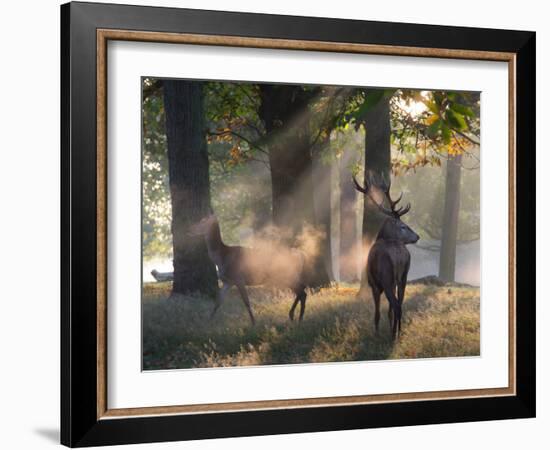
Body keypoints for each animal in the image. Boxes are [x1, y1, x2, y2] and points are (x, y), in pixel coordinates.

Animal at [354, 174, 422, 340]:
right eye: (403, 226)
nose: (417, 236)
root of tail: (399, 256)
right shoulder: (393, 282)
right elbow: (389, 311)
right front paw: (391, 327)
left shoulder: (374, 284)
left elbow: (378, 313)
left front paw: (376, 333)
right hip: (403, 277)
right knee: (400, 303)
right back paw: (398, 332)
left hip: (386, 277)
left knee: (397, 304)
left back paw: (393, 336)